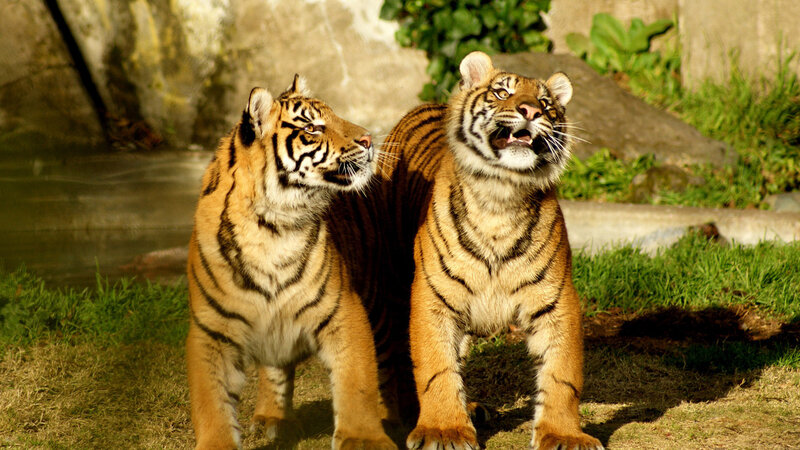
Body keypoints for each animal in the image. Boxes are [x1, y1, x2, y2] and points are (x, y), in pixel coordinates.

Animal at [185, 75, 397, 450]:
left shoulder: (345, 310)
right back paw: (273, 419)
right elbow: (210, 401)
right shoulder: (211, 329)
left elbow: (357, 381)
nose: (370, 140)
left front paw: (363, 438)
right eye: (312, 127)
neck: (271, 227)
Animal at [379, 51, 603, 450]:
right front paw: (443, 430)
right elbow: (436, 366)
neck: (502, 195)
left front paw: (563, 435)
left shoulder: (557, 299)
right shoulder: (432, 298)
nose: (531, 111)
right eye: (503, 92)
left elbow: (562, 374)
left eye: (546, 103)